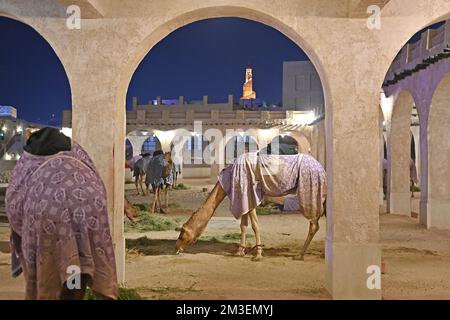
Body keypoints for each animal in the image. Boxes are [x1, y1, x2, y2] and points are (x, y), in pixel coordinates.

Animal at [176, 152, 326, 260]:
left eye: (182, 234)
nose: (177, 248)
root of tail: (322, 169)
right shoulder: (244, 200)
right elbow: (243, 225)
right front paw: (239, 252)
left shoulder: (248, 193)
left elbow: (255, 225)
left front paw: (258, 255)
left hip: (311, 190)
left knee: (314, 224)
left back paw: (300, 255)